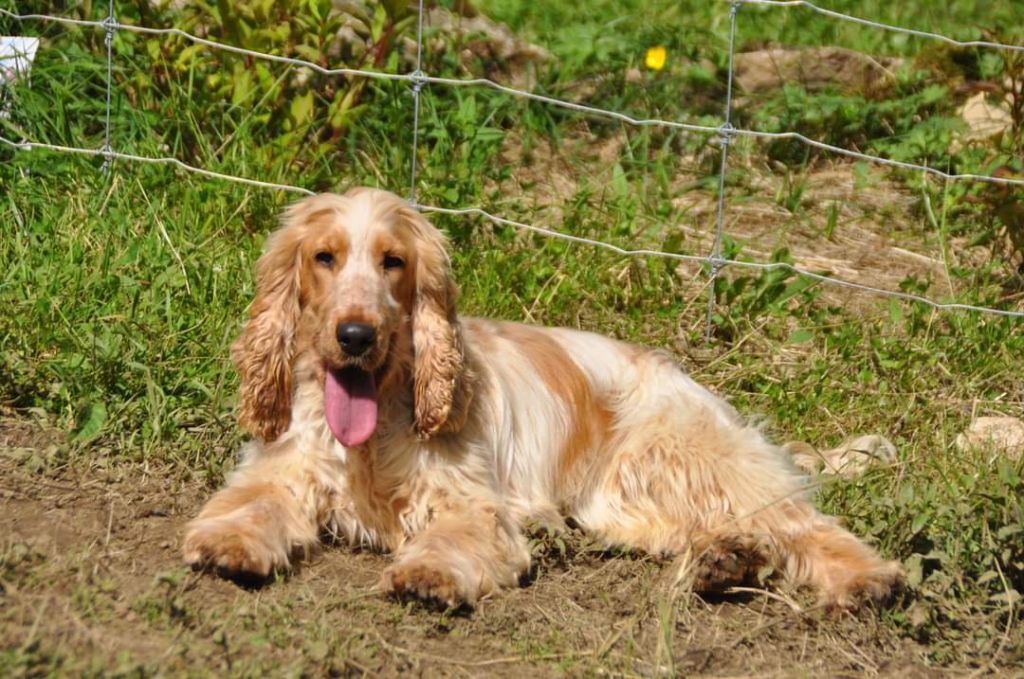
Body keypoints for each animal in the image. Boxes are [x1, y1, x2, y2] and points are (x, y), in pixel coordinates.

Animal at [184, 186, 905, 610]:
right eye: (324, 257)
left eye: (393, 261)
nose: (355, 335)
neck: (380, 412)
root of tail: (693, 383)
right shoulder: (282, 468)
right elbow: (252, 504)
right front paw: (227, 542)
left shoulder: (471, 503)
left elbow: (454, 538)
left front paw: (428, 574)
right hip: (619, 502)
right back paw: (726, 561)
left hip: (688, 454)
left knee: (805, 524)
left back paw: (867, 579)